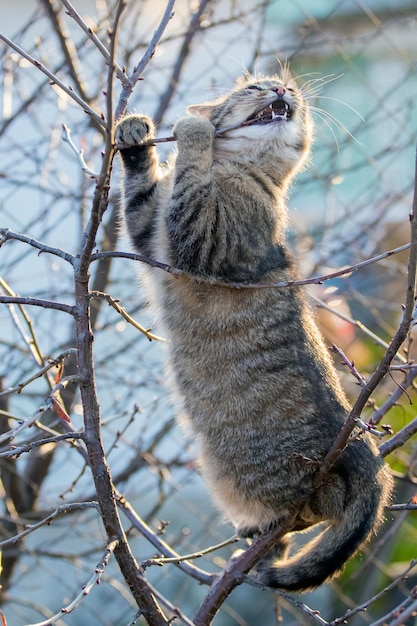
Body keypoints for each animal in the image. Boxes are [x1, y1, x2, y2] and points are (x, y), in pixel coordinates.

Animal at [115, 74, 392, 588]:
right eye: (257, 86)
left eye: (271, 85)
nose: (282, 87)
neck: (233, 169)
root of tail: (367, 456)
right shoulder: (150, 234)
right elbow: (141, 196)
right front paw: (135, 135)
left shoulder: (201, 238)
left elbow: (189, 179)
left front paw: (194, 132)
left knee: (313, 512)